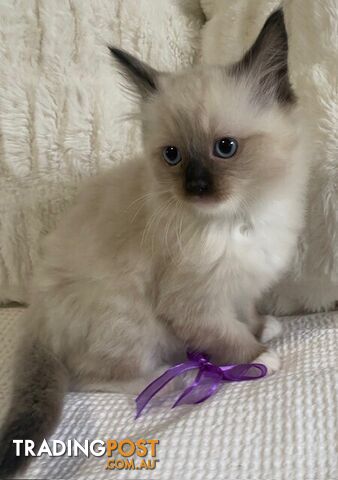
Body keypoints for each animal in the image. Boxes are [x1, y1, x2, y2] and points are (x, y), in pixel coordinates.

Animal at [0, 10, 308, 476]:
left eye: (225, 148)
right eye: (172, 156)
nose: (195, 187)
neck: (238, 219)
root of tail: (36, 311)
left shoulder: (242, 287)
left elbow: (247, 313)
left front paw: (264, 327)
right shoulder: (195, 303)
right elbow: (229, 334)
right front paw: (259, 357)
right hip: (131, 322)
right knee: (92, 377)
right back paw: (170, 378)